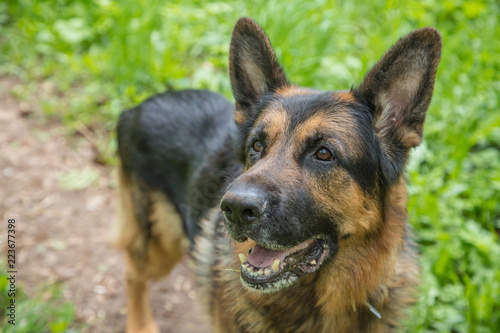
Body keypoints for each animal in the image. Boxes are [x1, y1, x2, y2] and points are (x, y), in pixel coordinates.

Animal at [116, 16, 442, 332]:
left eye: (324, 154)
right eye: (257, 145)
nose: (234, 208)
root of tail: (134, 109)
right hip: (159, 246)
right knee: (131, 271)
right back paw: (141, 325)